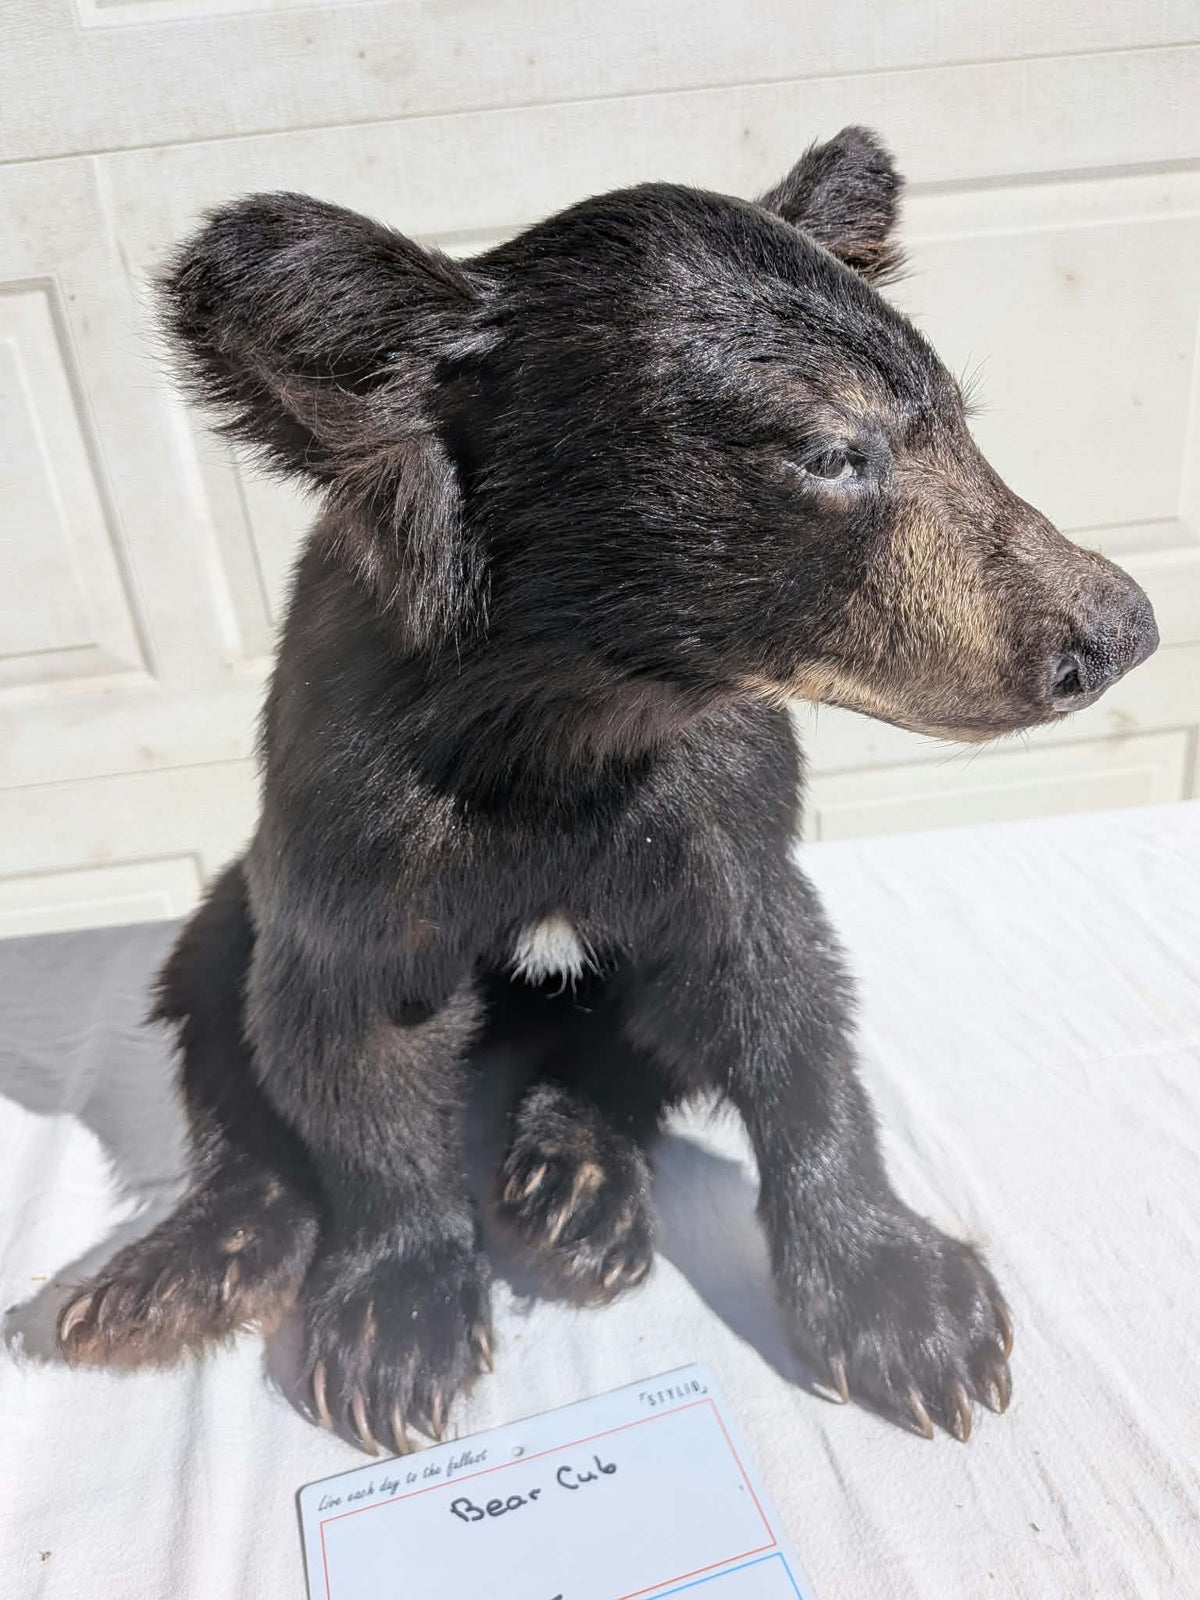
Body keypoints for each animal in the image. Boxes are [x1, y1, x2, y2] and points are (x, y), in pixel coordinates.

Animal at [57, 128, 1158, 1454]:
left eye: (958, 422)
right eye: (831, 451)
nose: (1118, 630)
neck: (577, 716)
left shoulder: (716, 813)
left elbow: (783, 1006)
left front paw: (913, 1310)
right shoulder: (363, 827)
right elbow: (353, 1046)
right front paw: (393, 1327)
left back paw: (576, 1185)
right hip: (236, 895)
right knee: (223, 1016)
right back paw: (185, 1264)